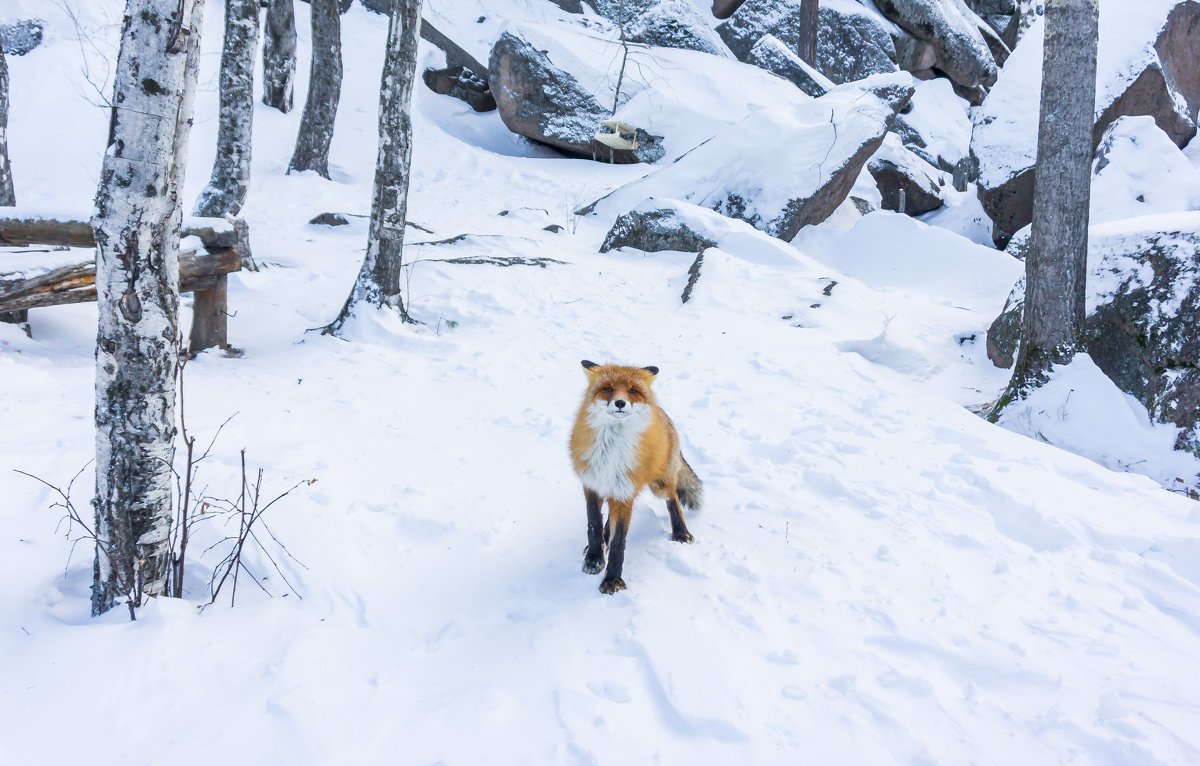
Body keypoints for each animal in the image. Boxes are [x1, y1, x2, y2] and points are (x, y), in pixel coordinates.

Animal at [568, 360, 700, 595]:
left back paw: (681, 531)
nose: (620, 402)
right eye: (608, 388)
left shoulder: (625, 492)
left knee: (673, 497)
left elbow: (619, 541)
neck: (611, 452)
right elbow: (594, 525)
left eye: (633, 391)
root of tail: (662, 413)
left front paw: (612, 579)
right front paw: (594, 558)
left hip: (659, 484)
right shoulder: (592, 484)